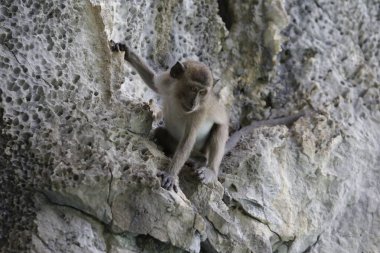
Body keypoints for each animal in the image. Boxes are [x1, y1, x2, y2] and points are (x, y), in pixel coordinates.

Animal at [110, 41, 229, 192]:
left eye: (202, 92)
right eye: (193, 89)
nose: (194, 102)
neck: (178, 97)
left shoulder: (199, 112)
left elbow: (187, 140)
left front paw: (170, 174)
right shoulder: (167, 81)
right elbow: (153, 81)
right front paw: (127, 51)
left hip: (217, 133)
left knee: (218, 132)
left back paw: (209, 168)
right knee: (160, 132)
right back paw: (195, 159)